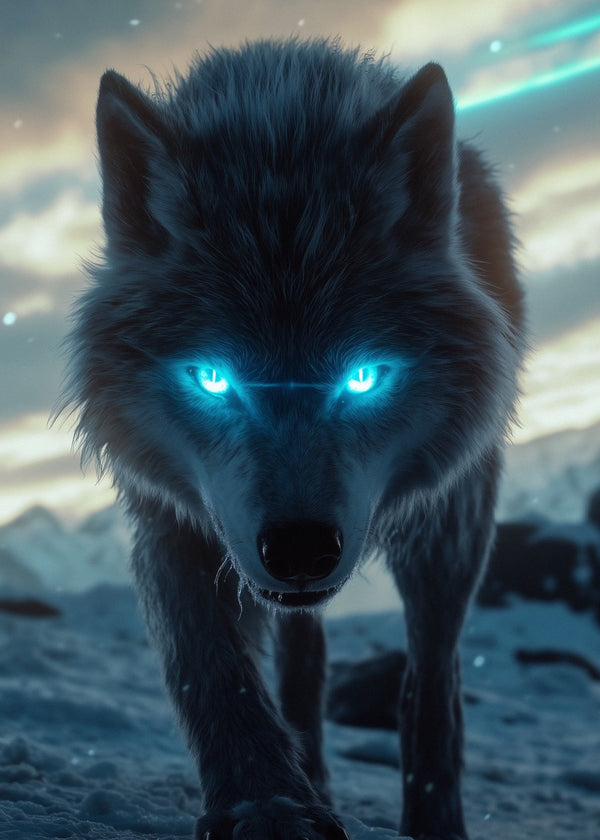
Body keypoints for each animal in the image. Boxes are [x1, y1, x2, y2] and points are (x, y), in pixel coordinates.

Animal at [63, 39, 524, 840]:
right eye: (213, 378)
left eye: (363, 376)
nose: (302, 548)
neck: (279, 126)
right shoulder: (173, 516)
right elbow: (209, 670)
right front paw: (268, 804)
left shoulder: (441, 517)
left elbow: (429, 694)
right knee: (303, 671)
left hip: (451, 532)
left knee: (431, 675)